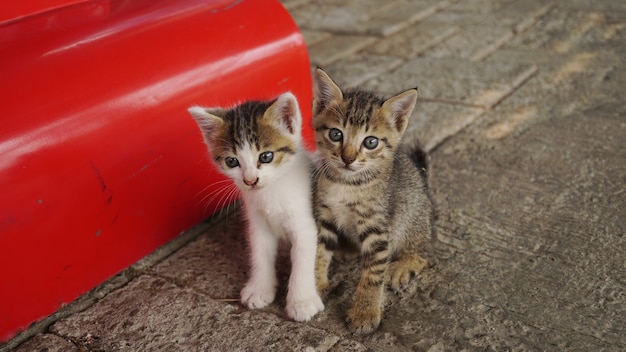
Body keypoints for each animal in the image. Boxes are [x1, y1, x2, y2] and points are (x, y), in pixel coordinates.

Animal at [185, 91, 322, 322]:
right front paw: (259, 288)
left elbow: (302, 258)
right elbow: (259, 253)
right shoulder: (257, 223)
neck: (271, 194)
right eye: (232, 161)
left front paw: (301, 302)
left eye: (266, 156)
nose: (250, 180)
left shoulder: (304, 224)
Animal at [310, 68, 432, 332]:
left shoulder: (377, 228)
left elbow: (373, 275)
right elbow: (317, 252)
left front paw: (365, 313)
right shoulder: (324, 217)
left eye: (371, 142)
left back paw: (403, 264)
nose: (348, 159)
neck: (346, 183)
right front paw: (309, 287)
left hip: (412, 217)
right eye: (336, 134)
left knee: (423, 251)